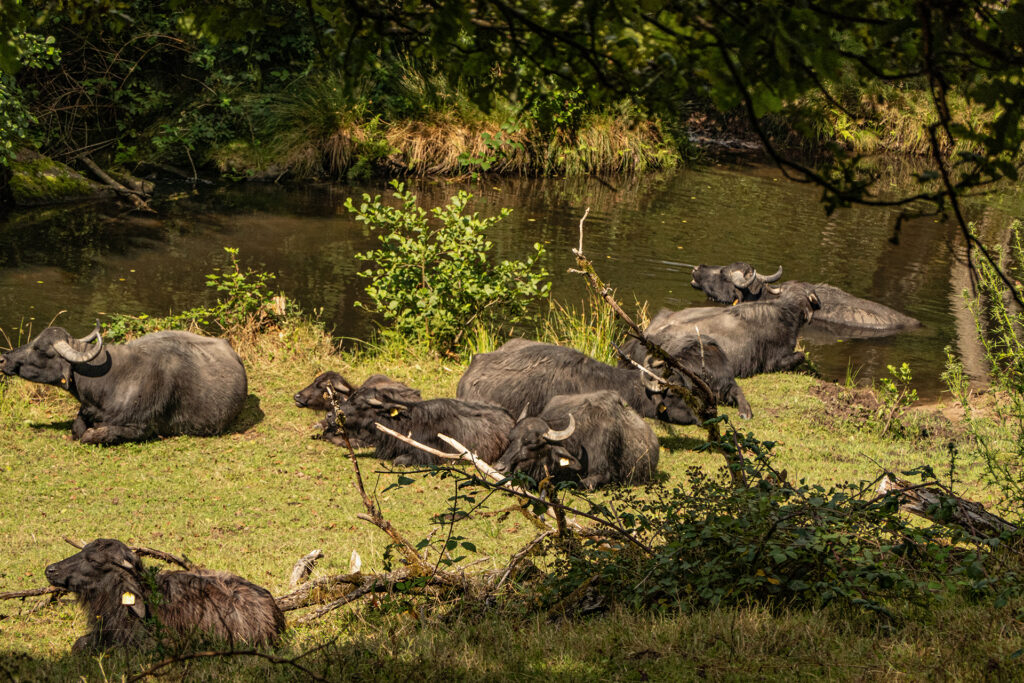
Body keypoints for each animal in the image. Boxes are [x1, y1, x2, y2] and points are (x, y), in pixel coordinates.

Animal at [338, 379, 515, 466]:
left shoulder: (427, 454)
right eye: (351, 398)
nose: (334, 414)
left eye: (359, 405)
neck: (408, 422)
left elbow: (399, 461)